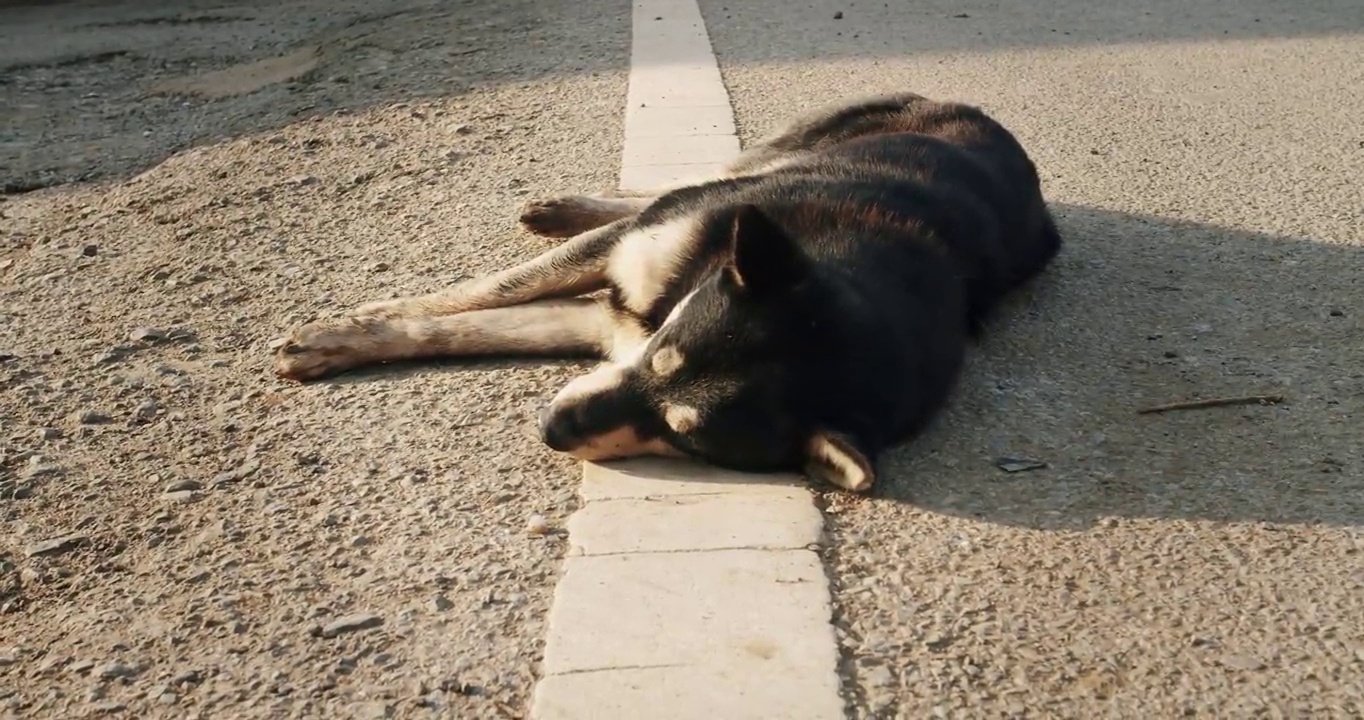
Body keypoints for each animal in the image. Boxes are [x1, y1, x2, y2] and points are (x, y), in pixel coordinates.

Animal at [271, 92, 1058, 490]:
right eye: (663, 356)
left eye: (683, 438)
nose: (550, 430)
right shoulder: (633, 275)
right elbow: (469, 300)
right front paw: (350, 326)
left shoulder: (609, 329)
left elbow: (473, 327)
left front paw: (345, 339)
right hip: (771, 155)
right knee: (685, 184)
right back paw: (570, 207)